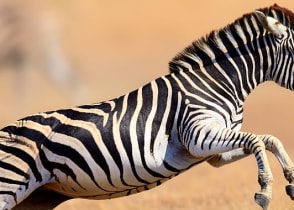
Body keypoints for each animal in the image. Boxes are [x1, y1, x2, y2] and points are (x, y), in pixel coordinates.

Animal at [0, 3, 294, 210]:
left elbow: (269, 139)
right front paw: (265, 190)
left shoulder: (212, 154)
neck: (219, 82)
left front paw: (290, 179)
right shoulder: (197, 135)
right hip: (9, 186)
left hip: (33, 199)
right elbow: (257, 140)